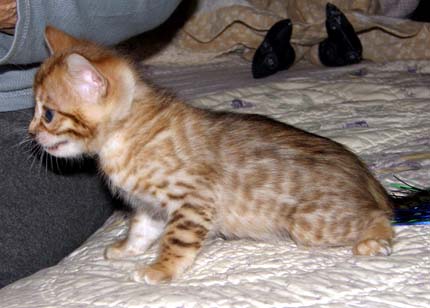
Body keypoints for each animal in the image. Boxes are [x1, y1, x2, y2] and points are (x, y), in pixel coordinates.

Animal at [29, 26, 394, 284]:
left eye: (48, 114)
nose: (31, 132)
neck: (127, 135)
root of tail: (364, 175)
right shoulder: (150, 206)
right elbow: (140, 230)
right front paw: (127, 249)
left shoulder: (193, 199)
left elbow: (176, 240)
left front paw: (161, 269)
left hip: (309, 224)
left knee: (378, 215)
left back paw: (375, 240)